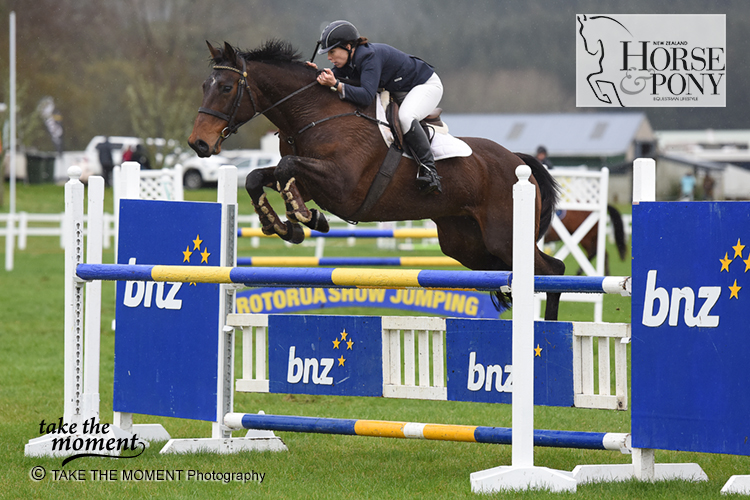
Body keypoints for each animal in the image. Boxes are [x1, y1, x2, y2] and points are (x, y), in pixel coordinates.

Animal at [191, 40, 568, 320]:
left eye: (226, 87)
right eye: (205, 86)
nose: (199, 144)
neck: (315, 114)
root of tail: (516, 159)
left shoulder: (342, 186)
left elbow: (286, 168)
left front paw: (303, 216)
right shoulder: (313, 180)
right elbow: (259, 176)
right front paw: (286, 224)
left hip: (504, 236)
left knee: (553, 270)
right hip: (467, 244)